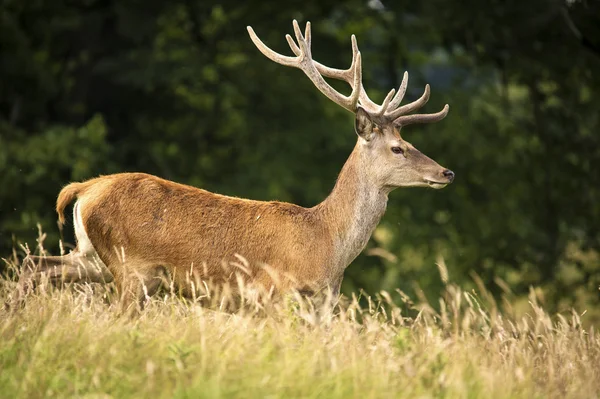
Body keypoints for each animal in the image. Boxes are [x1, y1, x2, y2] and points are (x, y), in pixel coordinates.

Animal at [19, 20, 454, 310]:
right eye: (398, 148)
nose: (446, 172)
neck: (326, 244)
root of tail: (84, 189)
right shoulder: (272, 294)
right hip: (134, 269)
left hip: (91, 256)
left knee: (33, 263)